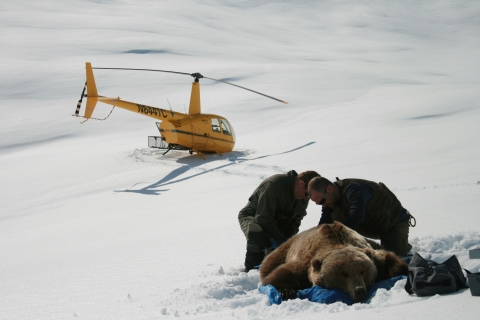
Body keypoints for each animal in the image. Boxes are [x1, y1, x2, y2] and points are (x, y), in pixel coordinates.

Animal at [258, 221, 408, 302]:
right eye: (344, 274)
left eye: (362, 271)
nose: (359, 290)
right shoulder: (305, 264)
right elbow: (279, 275)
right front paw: (286, 291)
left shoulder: (371, 253)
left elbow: (389, 259)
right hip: (284, 248)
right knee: (269, 263)